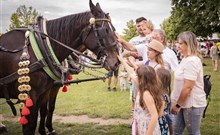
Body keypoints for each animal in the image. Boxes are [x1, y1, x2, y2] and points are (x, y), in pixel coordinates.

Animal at [0, 0, 118, 134]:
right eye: (105, 30)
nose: (116, 63)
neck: (41, 47)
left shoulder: (45, 92)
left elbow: (48, 109)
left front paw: (47, 129)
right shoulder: (28, 97)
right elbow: (31, 125)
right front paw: (46, 129)